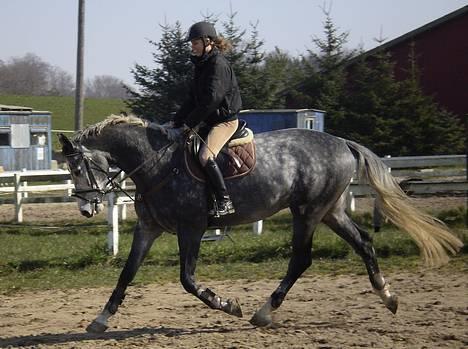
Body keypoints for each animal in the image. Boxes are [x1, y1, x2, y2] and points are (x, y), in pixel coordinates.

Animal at [57, 115, 460, 332]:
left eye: (78, 169)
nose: (87, 210)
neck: (156, 164)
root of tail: (342, 143)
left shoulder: (192, 229)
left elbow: (188, 280)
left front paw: (226, 304)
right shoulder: (148, 229)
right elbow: (126, 274)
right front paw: (100, 320)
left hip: (307, 212)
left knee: (301, 259)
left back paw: (263, 312)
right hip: (330, 210)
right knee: (363, 242)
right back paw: (388, 297)